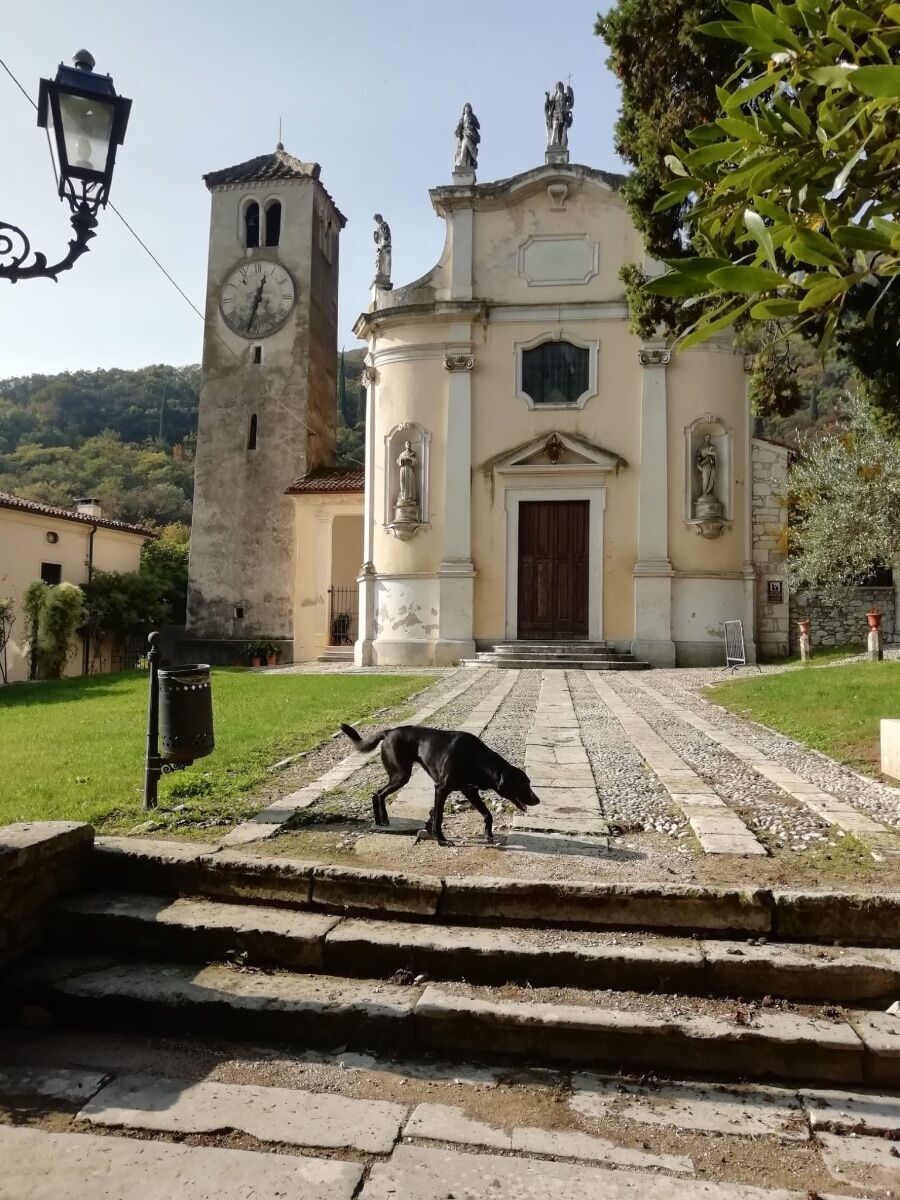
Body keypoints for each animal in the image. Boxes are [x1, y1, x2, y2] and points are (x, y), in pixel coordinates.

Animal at [338, 720, 535, 844]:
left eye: (528, 782)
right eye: (522, 784)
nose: (537, 799)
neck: (478, 760)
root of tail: (389, 732)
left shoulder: (470, 791)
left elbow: (488, 814)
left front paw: (488, 835)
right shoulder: (441, 788)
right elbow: (438, 817)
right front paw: (441, 840)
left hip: (400, 776)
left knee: (377, 794)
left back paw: (382, 820)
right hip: (401, 775)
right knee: (378, 793)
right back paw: (381, 820)